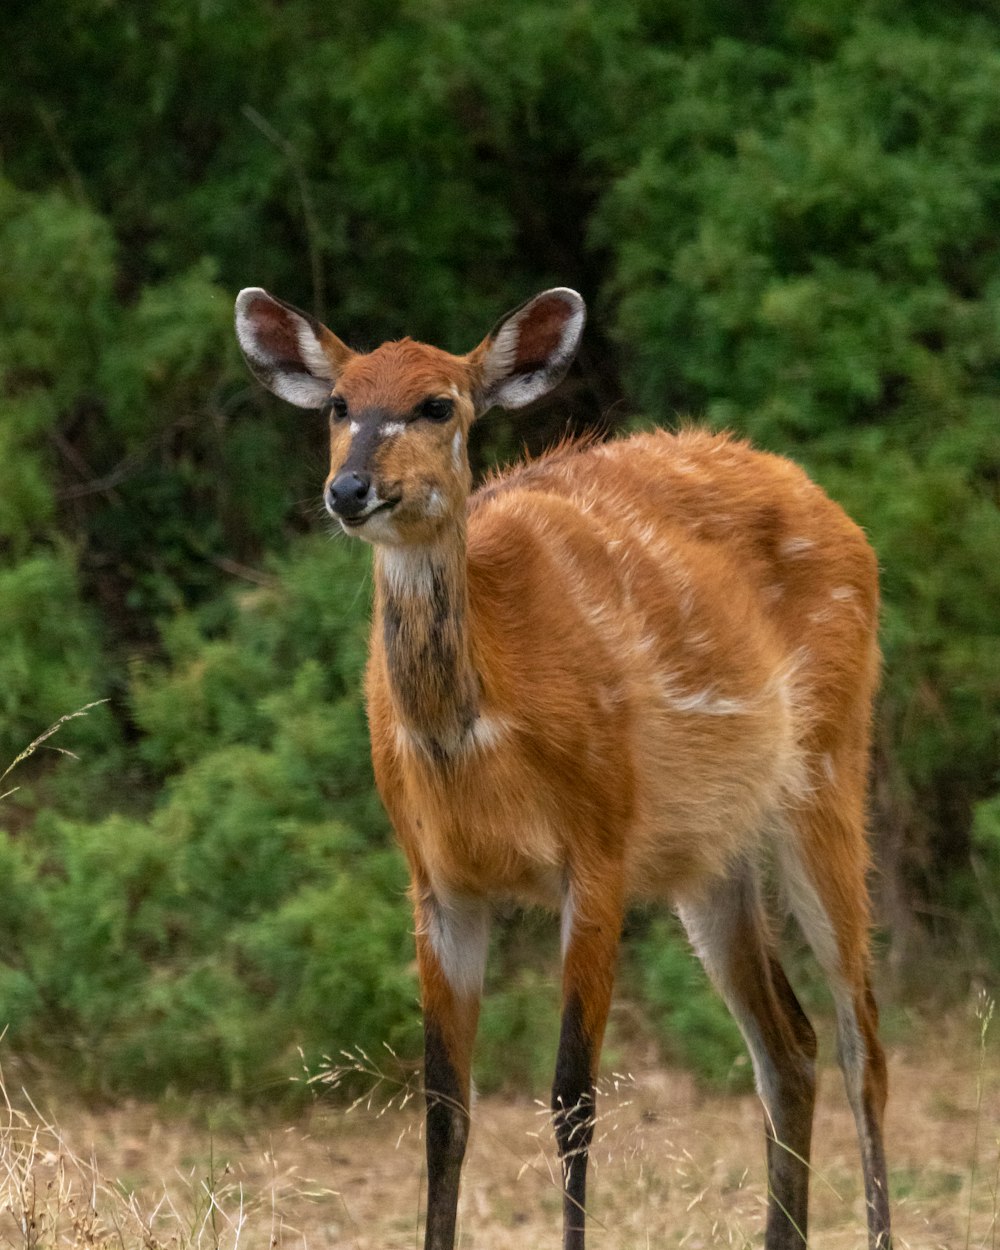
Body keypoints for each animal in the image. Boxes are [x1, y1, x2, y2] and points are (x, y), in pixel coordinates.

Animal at [235, 286, 890, 1250]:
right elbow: (443, 1108)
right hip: (710, 857)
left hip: (830, 768)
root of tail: (841, 517)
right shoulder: (438, 883)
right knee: (789, 1044)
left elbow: (572, 1095)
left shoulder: (598, 849)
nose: (349, 489)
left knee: (860, 1039)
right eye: (338, 405)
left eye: (439, 404)